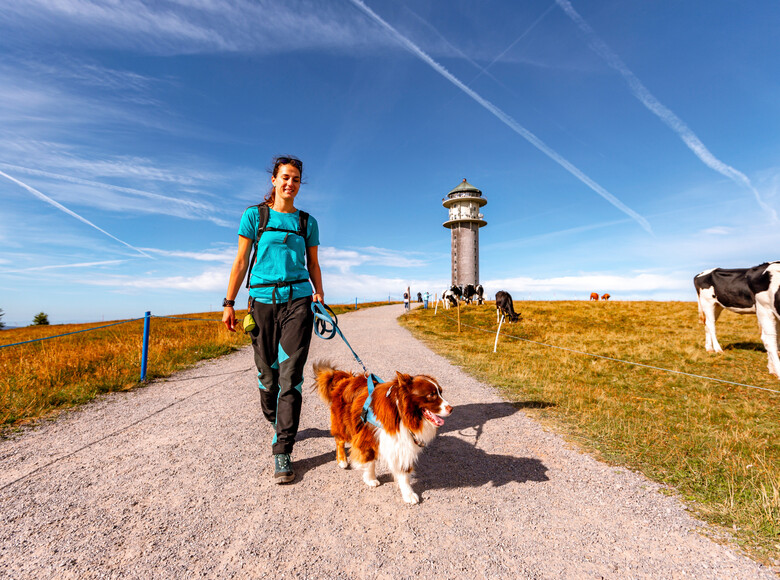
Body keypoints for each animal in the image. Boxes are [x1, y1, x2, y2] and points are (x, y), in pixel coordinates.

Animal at [314, 362, 454, 502]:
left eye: (441, 392)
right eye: (431, 395)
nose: (451, 409)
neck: (401, 414)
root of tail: (347, 378)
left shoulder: (402, 444)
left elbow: (403, 470)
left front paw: (408, 493)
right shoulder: (367, 436)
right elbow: (369, 461)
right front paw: (370, 479)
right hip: (344, 423)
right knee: (339, 439)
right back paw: (342, 460)